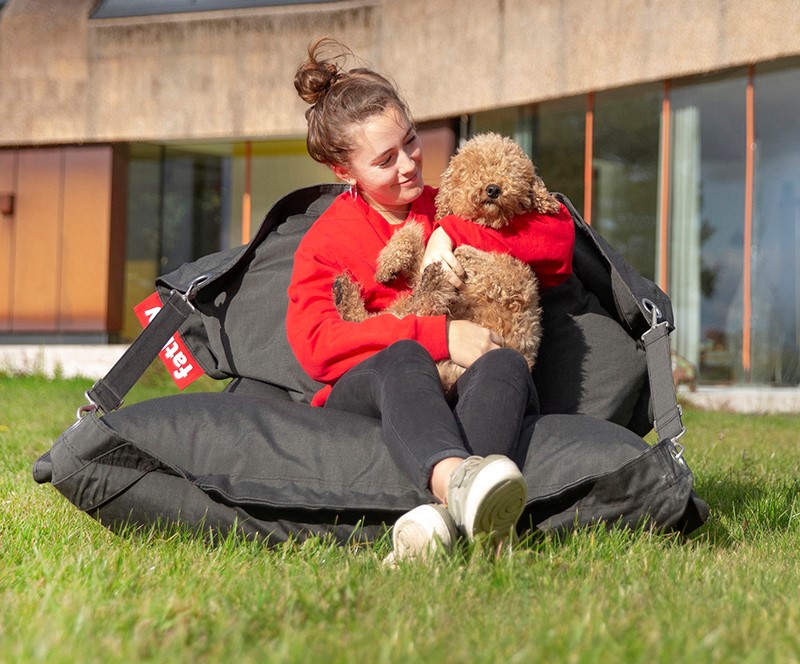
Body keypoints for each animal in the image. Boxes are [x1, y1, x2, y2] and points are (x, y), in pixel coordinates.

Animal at [332, 133, 556, 392]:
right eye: (472, 170)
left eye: (510, 170)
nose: (492, 188)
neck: (487, 222)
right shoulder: (427, 262)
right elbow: (412, 234)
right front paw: (389, 264)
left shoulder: (512, 282)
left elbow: (469, 254)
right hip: (409, 312)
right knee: (396, 316)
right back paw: (346, 293)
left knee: (422, 309)